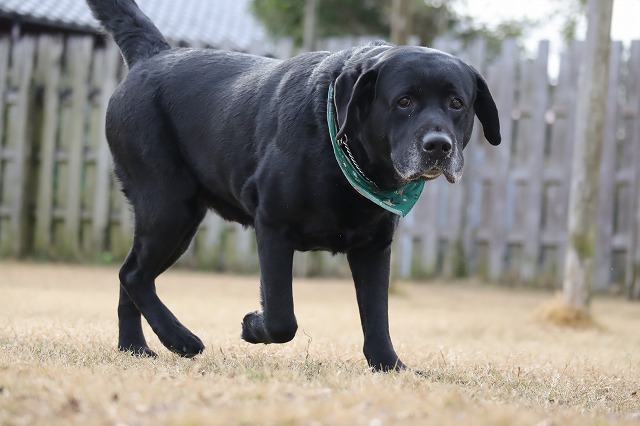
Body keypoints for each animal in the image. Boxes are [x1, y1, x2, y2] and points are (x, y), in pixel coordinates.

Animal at [86, 0, 500, 372]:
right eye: (404, 101)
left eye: (456, 103)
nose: (438, 146)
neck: (341, 148)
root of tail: (152, 55)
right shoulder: (273, 226)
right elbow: (282, 319)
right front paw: (252, 326)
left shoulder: (374, 247)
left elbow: (377, 317)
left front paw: (389, 365)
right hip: (170, 209)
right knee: (134, 275)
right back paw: (179, 339)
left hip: (174, 221)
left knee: (130, 274)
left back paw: (135, 347)